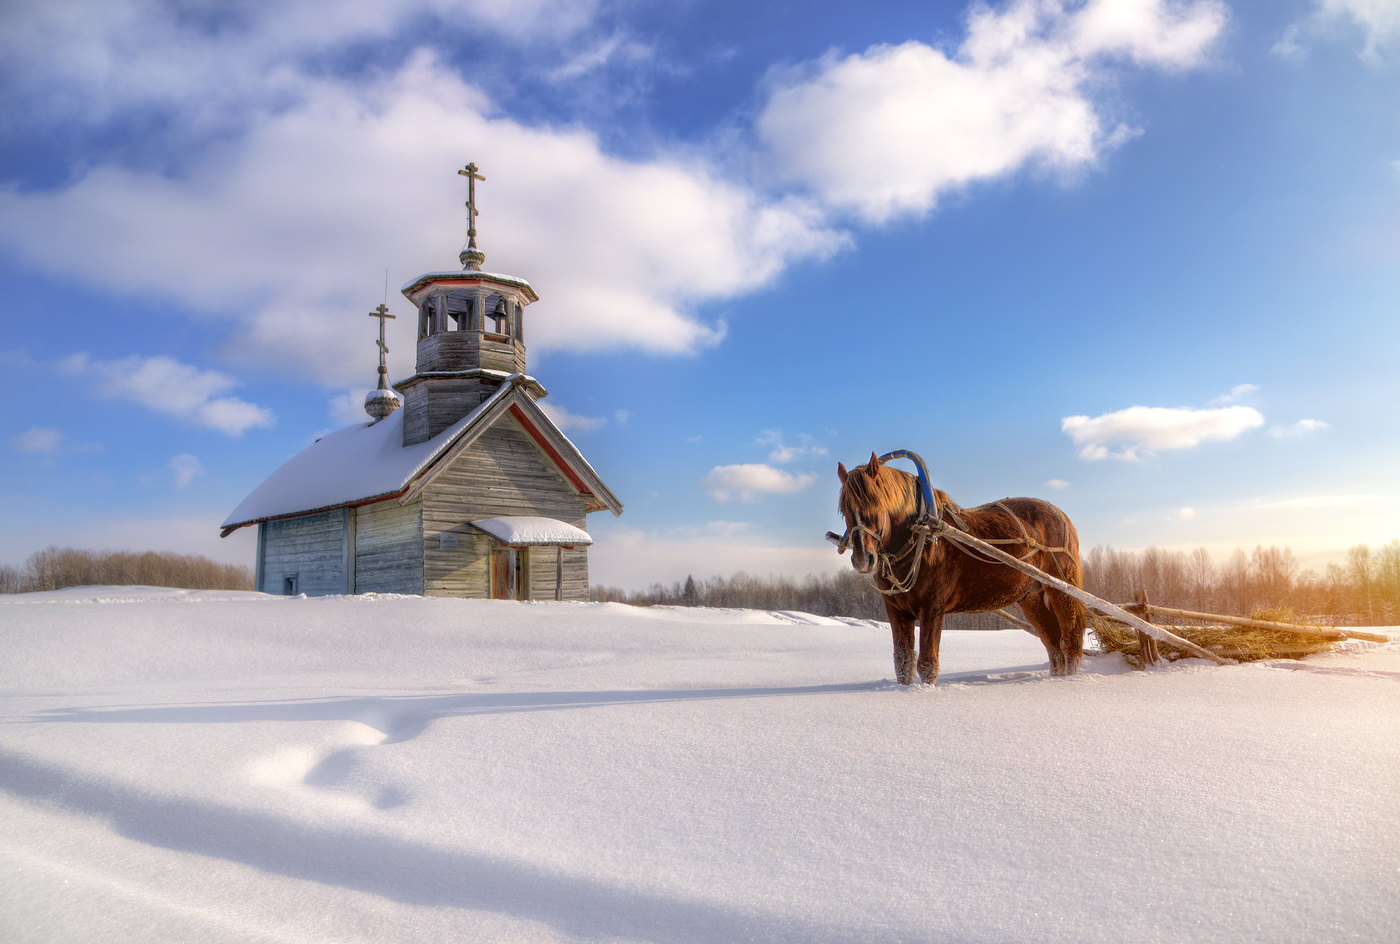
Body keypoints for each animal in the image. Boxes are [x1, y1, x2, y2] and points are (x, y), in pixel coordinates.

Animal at [834, 450, 1086, 683]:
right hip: (1031, 597)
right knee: (1052, 643)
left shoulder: (932, 607)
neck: (920, 536)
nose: (862, 560)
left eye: (875, 505)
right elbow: (902, 662)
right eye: (844, 511)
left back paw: (1070, 680)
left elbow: (927, 663)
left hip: (1060, 587)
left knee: (1070, 639)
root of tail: (1060, 514)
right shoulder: (896, 611)